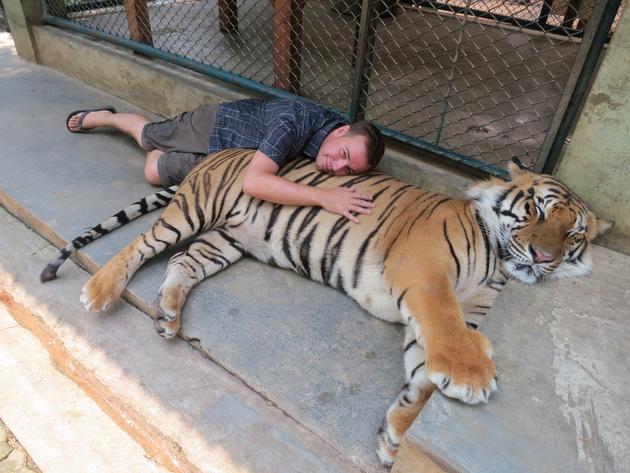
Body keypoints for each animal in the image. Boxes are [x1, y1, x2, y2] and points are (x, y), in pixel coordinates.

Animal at [38, 148, 612, 464]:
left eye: (574, 233)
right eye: (537, 209)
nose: (543, 257)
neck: (496, 263)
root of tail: (218, 152)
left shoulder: (457, 314)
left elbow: (424, 375)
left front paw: (395, 433)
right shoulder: (425, 275)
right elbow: (446, 332)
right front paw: (472, 377)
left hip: (228, 240)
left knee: (183, 263)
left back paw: (169, 316)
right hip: (193, 211)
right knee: (142, 245)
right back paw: (100, 290)